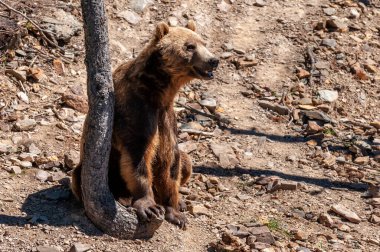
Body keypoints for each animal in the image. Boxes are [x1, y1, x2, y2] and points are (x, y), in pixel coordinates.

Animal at [71, 20, 218, 228]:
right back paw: (123, 198)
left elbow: (170, 162)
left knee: (186, 162)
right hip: (96, 169)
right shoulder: (136, 111)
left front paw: (175, 211)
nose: (214, 60)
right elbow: (138, 156)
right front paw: (149, 206)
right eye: (190, 46)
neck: (158, 91)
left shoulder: (166, 118)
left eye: (203, 42)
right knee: (79, 175)